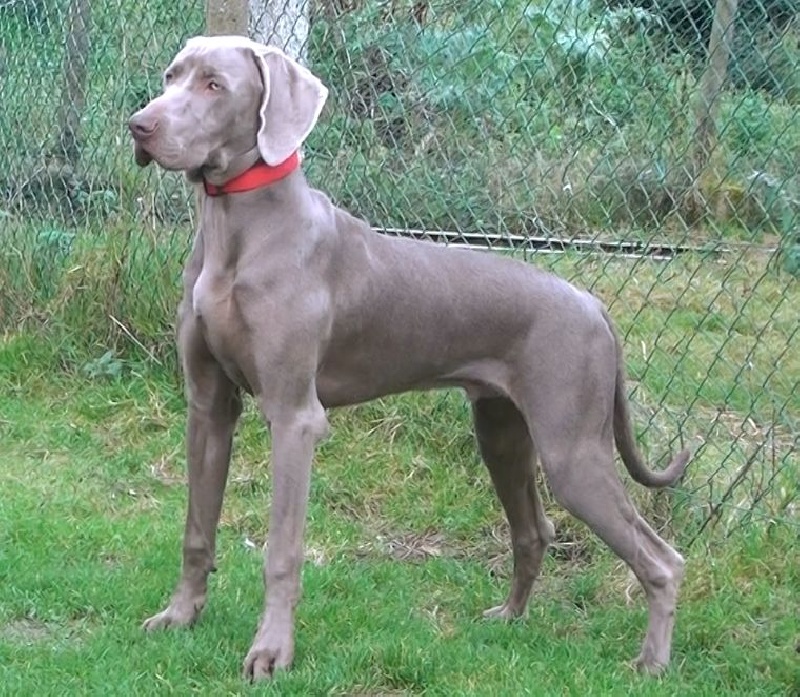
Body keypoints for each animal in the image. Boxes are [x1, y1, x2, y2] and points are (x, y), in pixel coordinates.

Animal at [128, 34, 692, 680]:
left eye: (214, 85)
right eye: (172, 75)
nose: (138, 125)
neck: (237, 230)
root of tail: (595, 305)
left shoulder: (294, 417)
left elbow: (282, 549)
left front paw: (271, 651)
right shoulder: (209, 405)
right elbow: (196, 527)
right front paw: (180, 615)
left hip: (573, 452)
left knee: (662, 558)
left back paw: (651, 663)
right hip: (500, 432)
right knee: (535, 530)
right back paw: (509, 617)